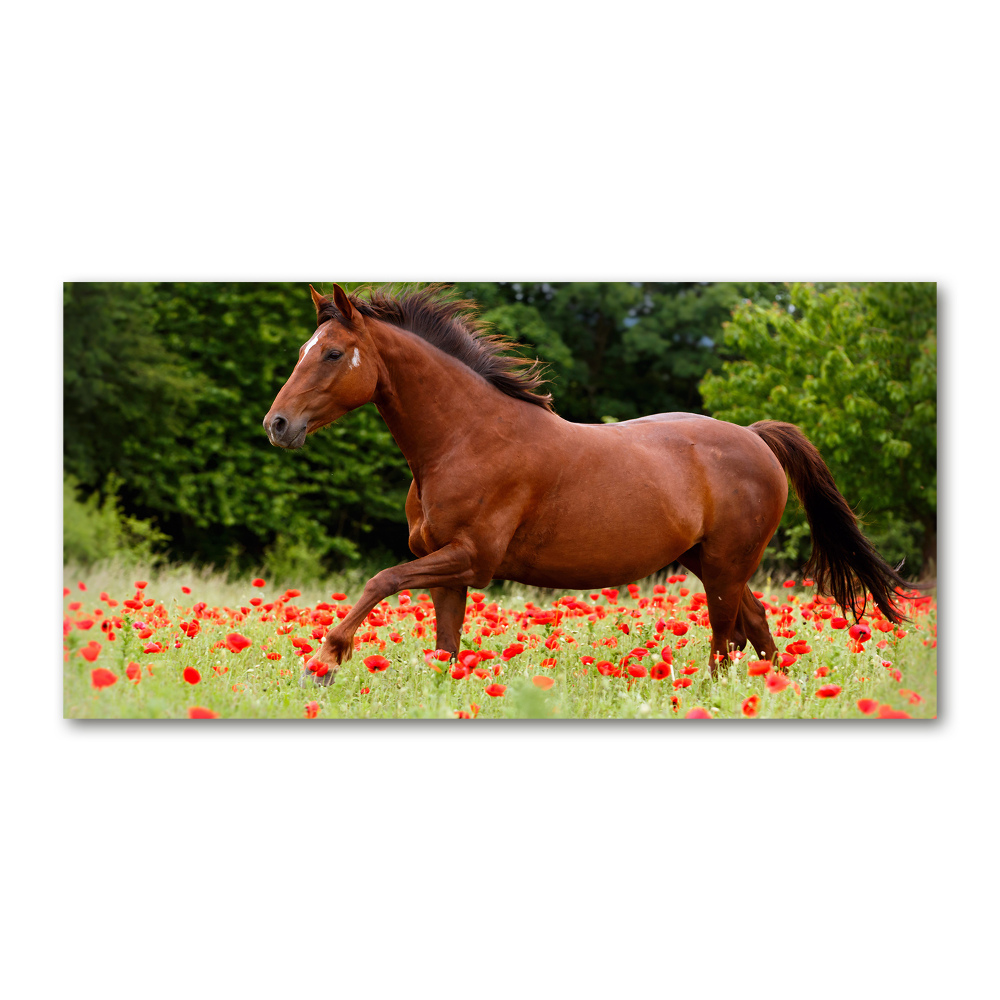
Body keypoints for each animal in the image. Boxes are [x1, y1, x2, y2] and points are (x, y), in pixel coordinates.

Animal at [264, 286, 916, 684]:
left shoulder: (471, 558)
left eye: (332, 354)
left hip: (726, 566)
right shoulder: (448, 571)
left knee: (724, 637)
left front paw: (324, 660)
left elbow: (380, 580)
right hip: (709, 562)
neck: (465, 438)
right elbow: (445, 649)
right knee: (754, 628)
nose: (278, 425)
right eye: (304, 349)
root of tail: (757, 439)